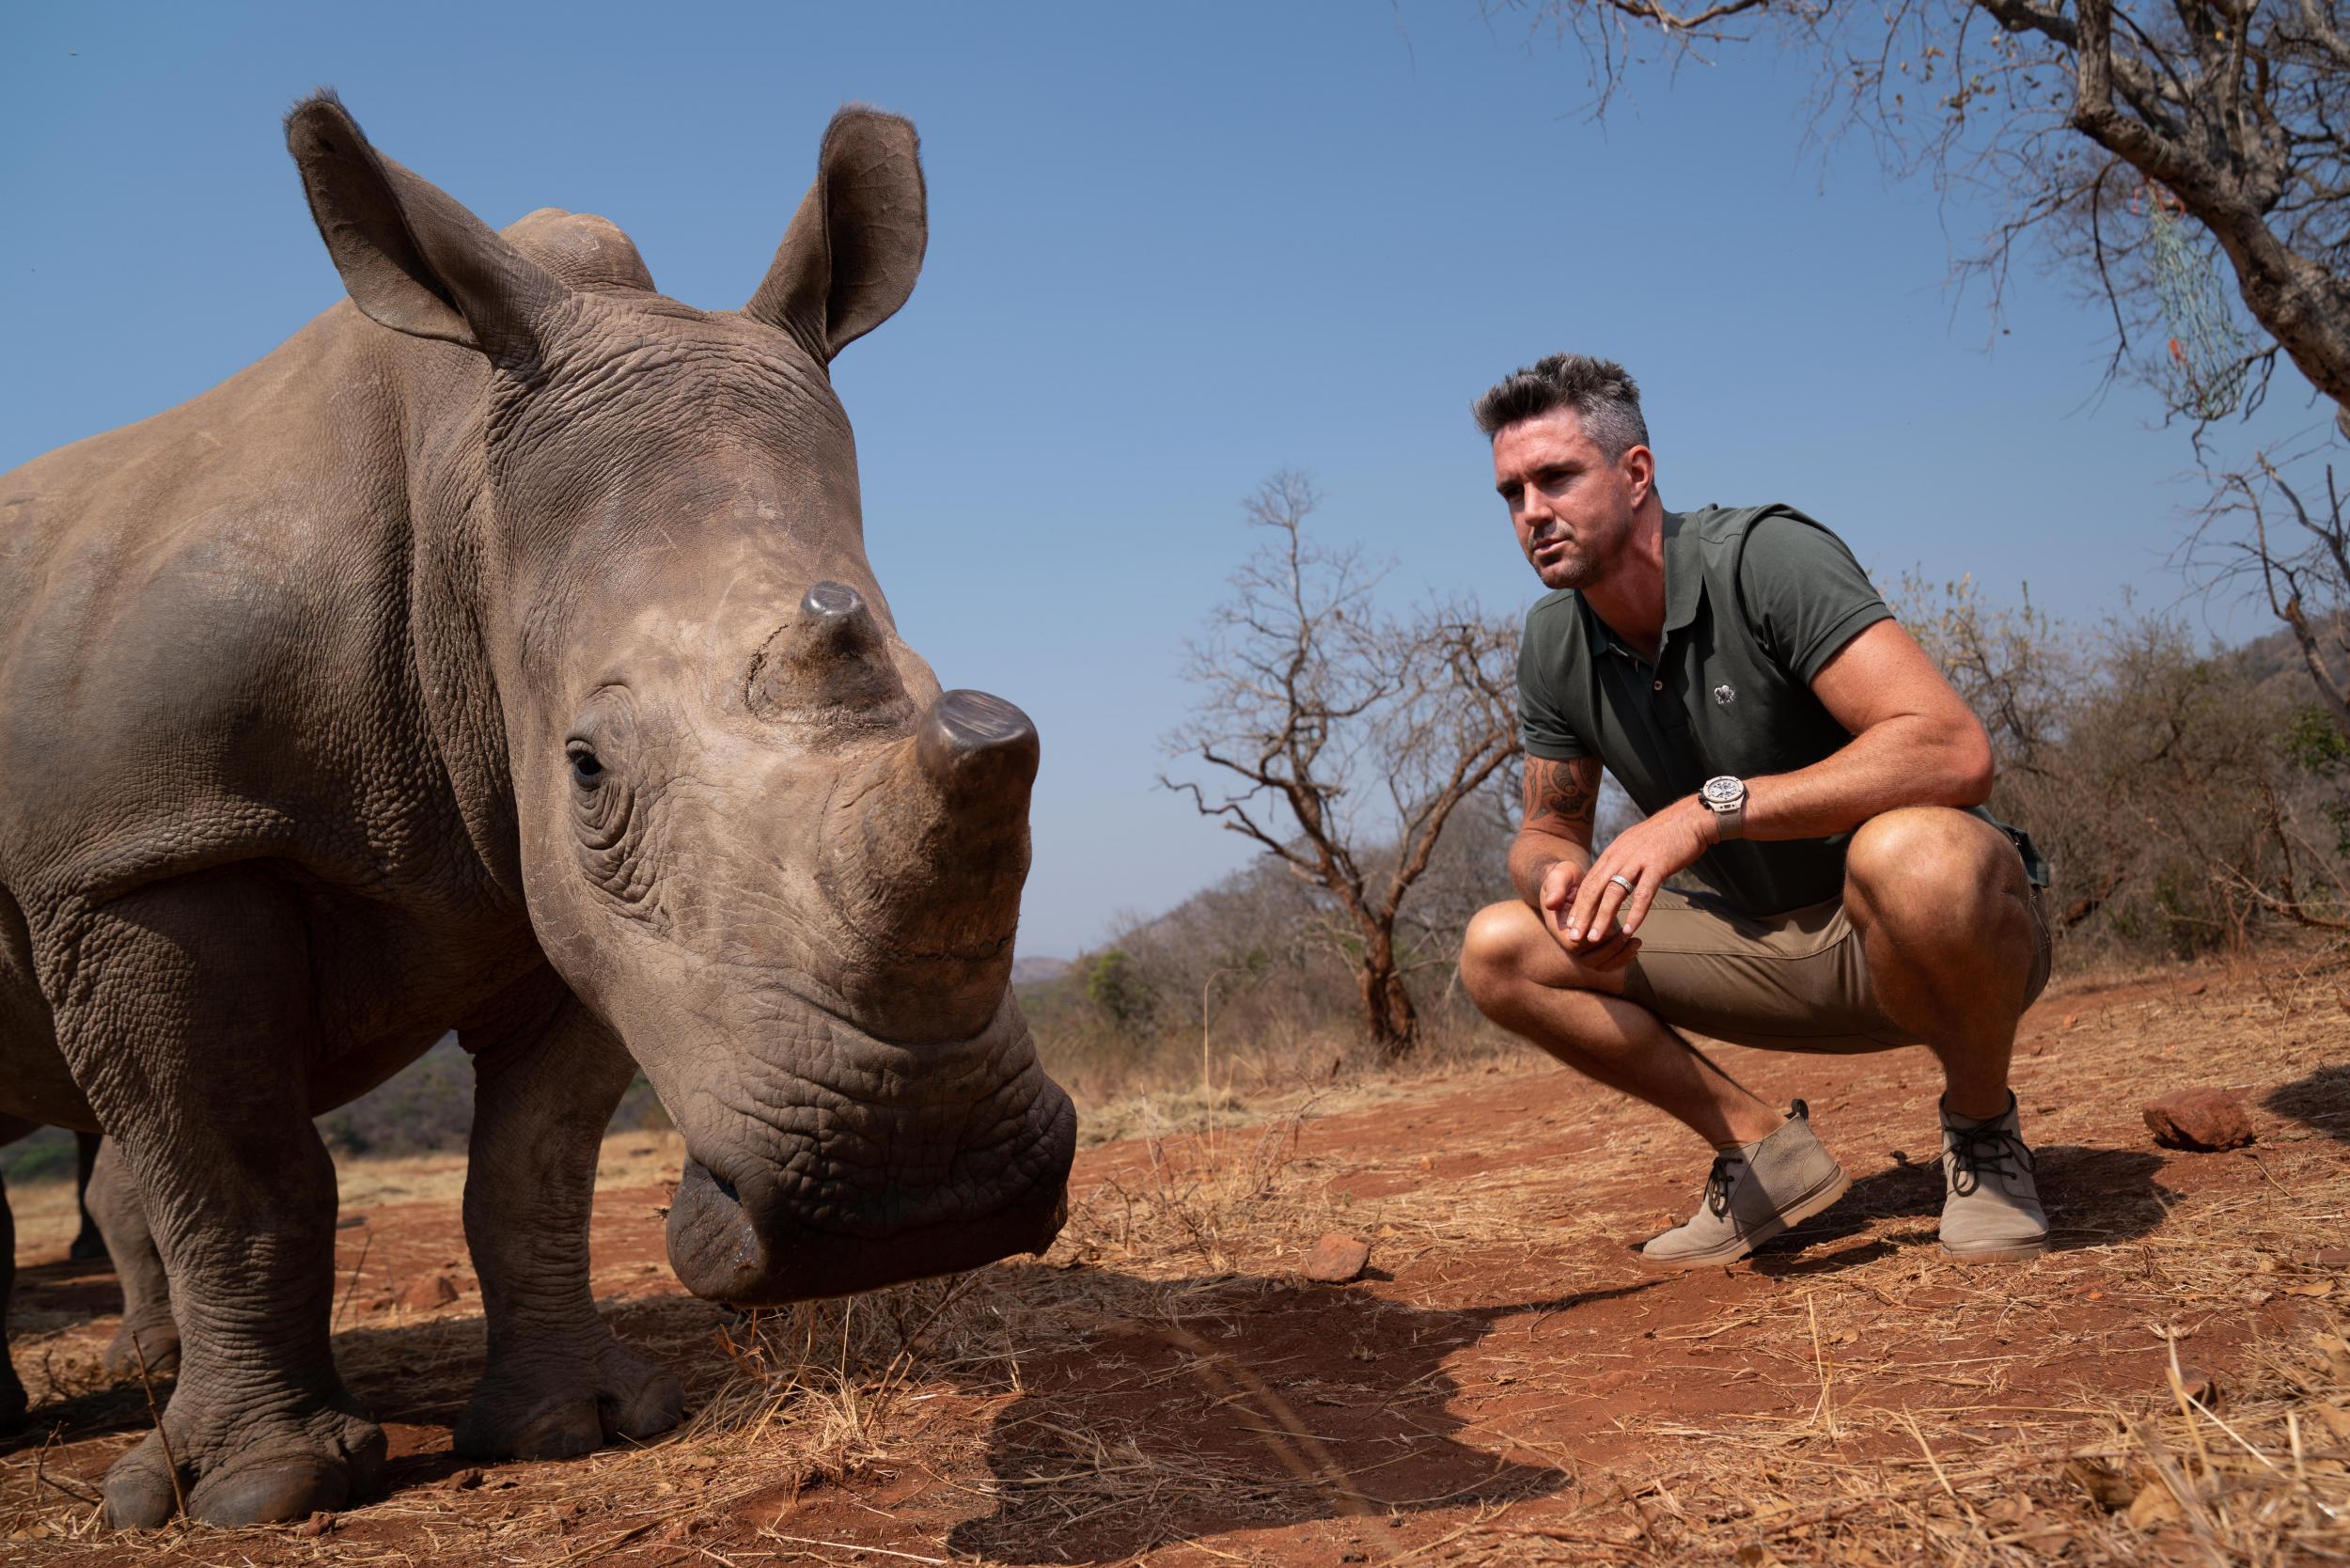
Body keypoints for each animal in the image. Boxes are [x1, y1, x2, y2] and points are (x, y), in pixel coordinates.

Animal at [0, 92, 1076, 1526]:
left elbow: (535, 1164)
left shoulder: (564, 898)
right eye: (587, 769)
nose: (929, 1196)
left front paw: (580, 1426)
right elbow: (236, 1173)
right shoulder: (144, 854)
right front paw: (251, 1495)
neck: (465, 499)